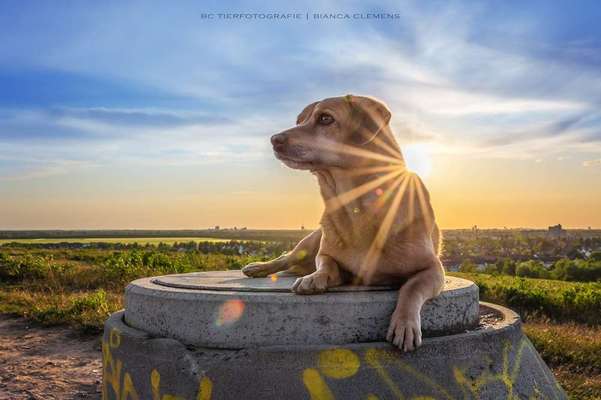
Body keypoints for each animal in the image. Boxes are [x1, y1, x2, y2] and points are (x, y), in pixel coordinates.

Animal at [241, 95, 442, 352]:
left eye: (325, 118)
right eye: (299, 120)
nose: (275, 139)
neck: (357, 207)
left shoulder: (433, 269)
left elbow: (411, 288)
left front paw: (405, 324)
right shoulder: (325, 253)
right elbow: (327, 264)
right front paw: (314, 278)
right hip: (311, 240)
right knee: (286, 257)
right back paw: (259, 267)